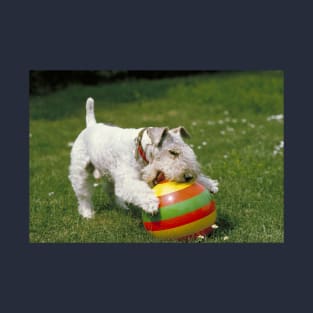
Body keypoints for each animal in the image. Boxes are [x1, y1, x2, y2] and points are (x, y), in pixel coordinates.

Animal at [68, 97, 217, 217]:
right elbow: (139, 190)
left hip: (109, 173)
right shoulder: (128, 179)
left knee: (111, 191)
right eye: (172, 152)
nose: (188, 177)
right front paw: (151, 204)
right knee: (83, 195)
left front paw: (209, 184)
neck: (139, 149)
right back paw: (88, 214)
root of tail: (91, 125)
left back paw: (123, 208)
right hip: (80, 171)